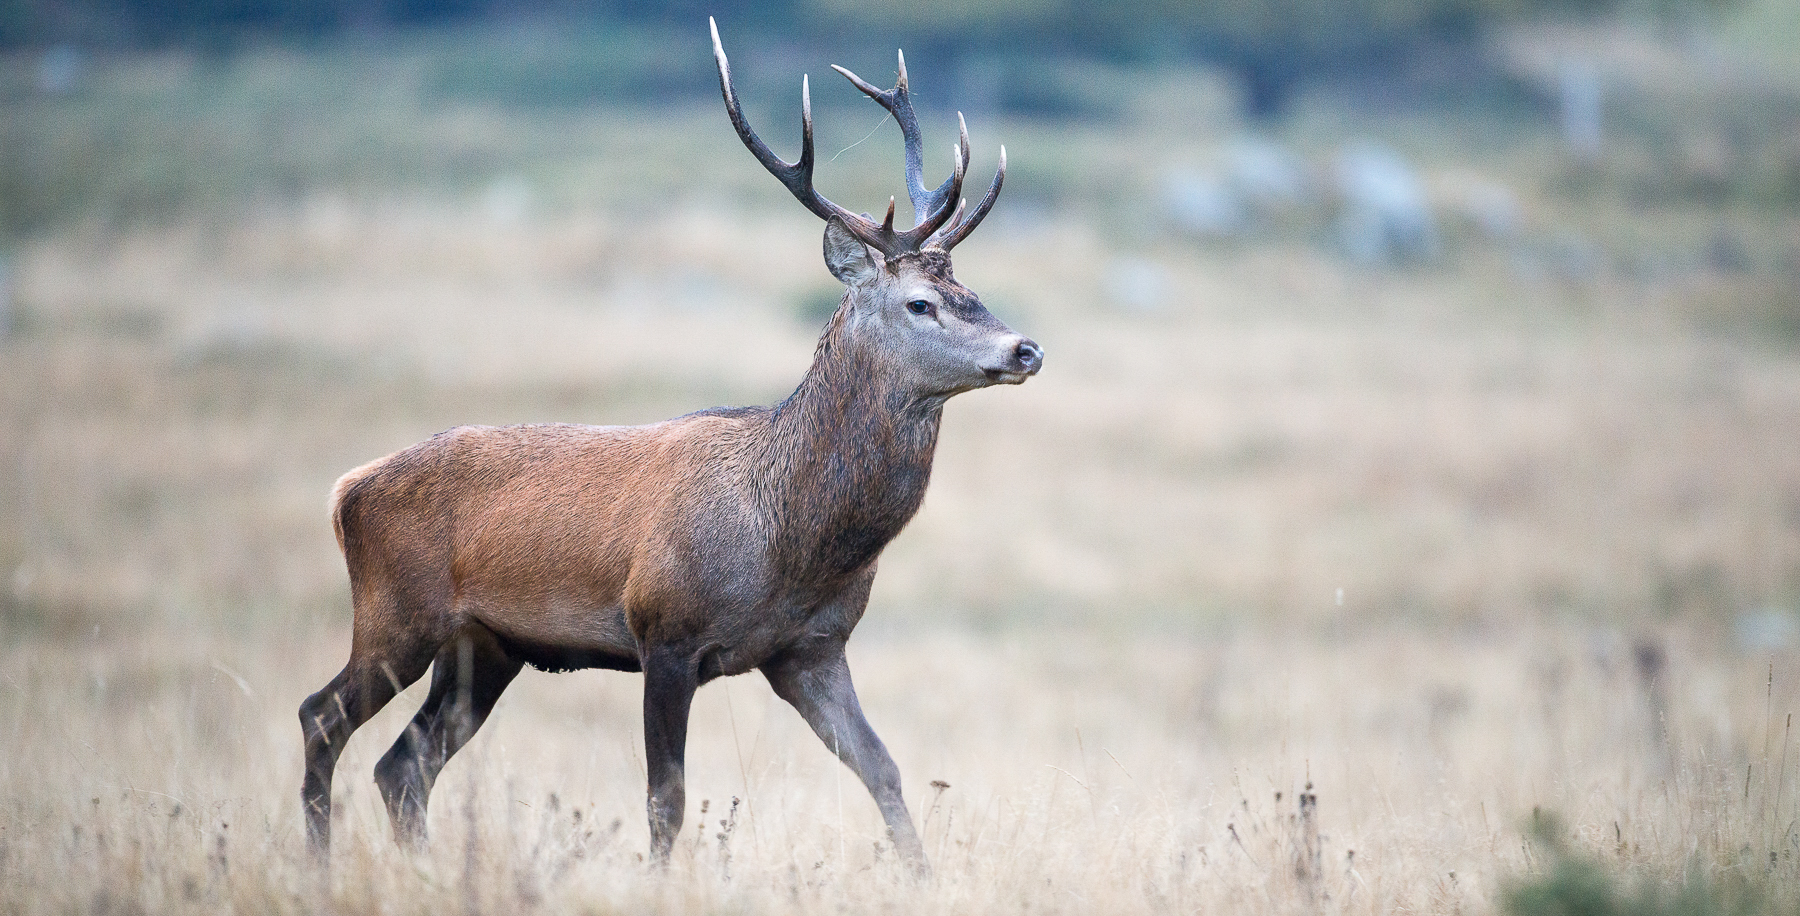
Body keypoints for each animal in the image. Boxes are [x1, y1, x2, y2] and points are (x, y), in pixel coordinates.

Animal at [298, 16, 1044, 871]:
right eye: (921, 302)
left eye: (972, 291)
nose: (1026, 348)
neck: (793, 540)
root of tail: (347, 489)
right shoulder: (666, 631)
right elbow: (667, 800)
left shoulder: (811, 649)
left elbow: (884, 769)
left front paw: (920, 877)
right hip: (397, 613)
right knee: (321, 717)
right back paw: (316, 866)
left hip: (485, 648)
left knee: (402, 766)